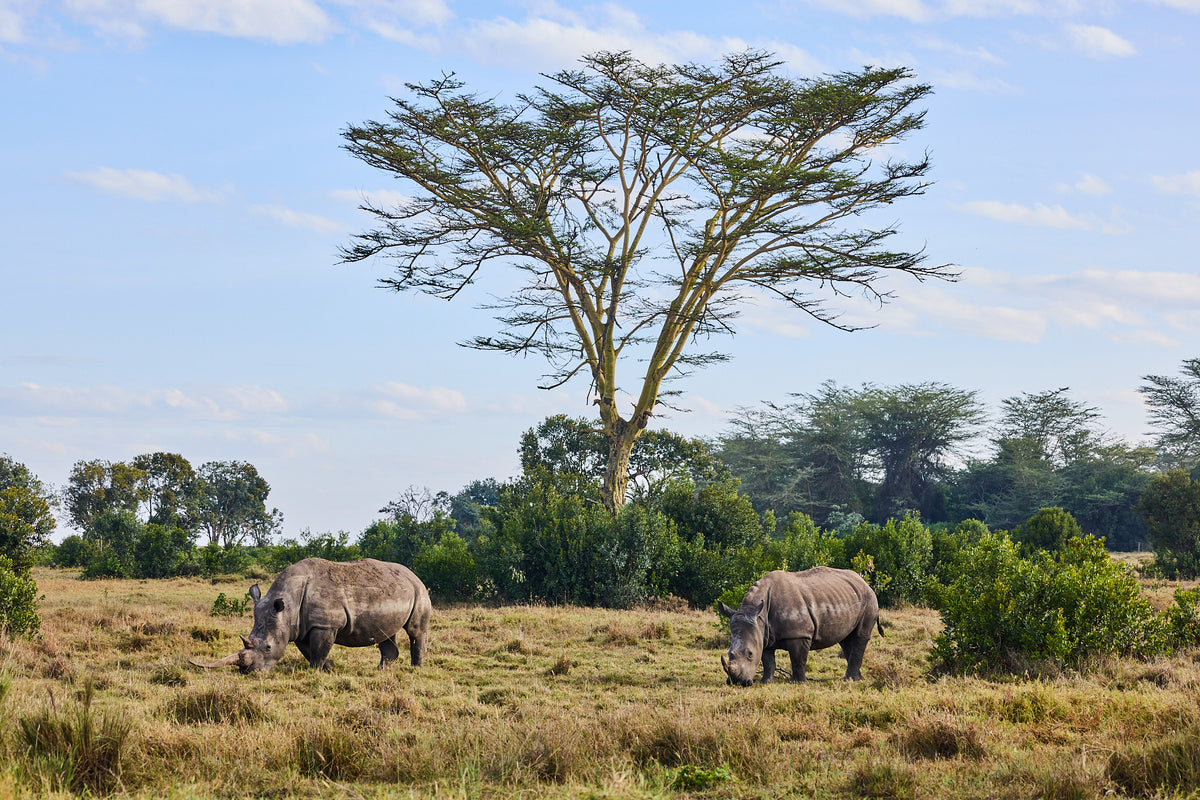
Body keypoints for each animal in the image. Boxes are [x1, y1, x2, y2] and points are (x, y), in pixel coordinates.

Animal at [193, 557, 431, 673]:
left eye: (268, 647)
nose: (249, 672)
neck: (287, 605)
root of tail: (413, 574)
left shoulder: (324, 625)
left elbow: (318, 651)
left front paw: (316, 672)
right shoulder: (298, 627)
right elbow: (309, 650)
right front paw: (329, 668)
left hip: (419, 590)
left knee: (415, 631)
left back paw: (416, 669)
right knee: (385, 633)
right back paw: (381, 670)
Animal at [719, 567, 881, 686]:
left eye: (750, 654)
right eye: (729, 653)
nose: (737, 682)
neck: (759, 615)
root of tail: (864, 581)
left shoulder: (799, 633)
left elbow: (798, 659)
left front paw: (798, 682)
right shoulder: (763, 634)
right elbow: (768, 660)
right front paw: (766, 682)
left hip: (869, 599)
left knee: (860, 636)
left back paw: (849, 680)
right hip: (849, 597)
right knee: (846, 640)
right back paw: (857, 678)